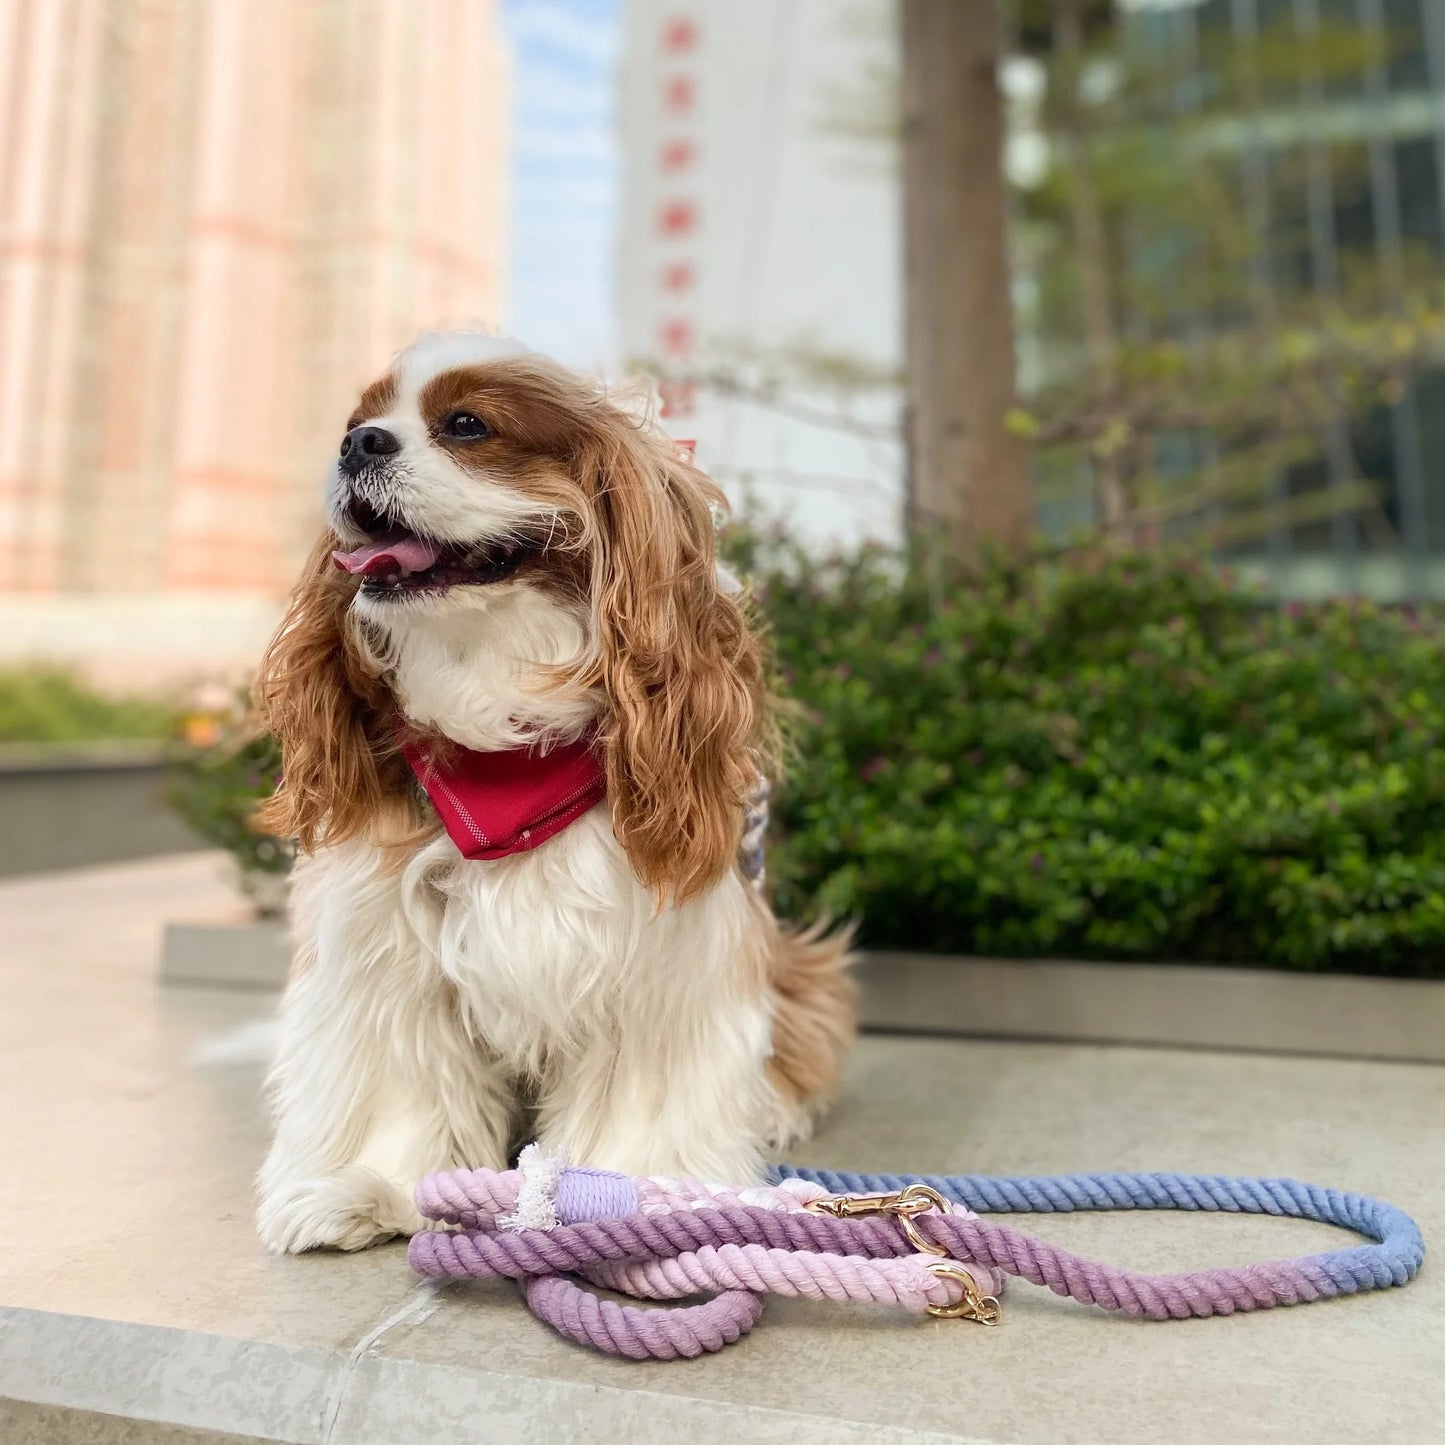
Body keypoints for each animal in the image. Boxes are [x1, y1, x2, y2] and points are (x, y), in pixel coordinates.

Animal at [252, 330, 849, 1254]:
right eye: (356, 421)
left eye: (467, 425)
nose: (357, 446)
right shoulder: (383, 942)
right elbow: (400, 1077)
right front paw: (372, 1184)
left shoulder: (660, 958)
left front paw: (639, 1194)